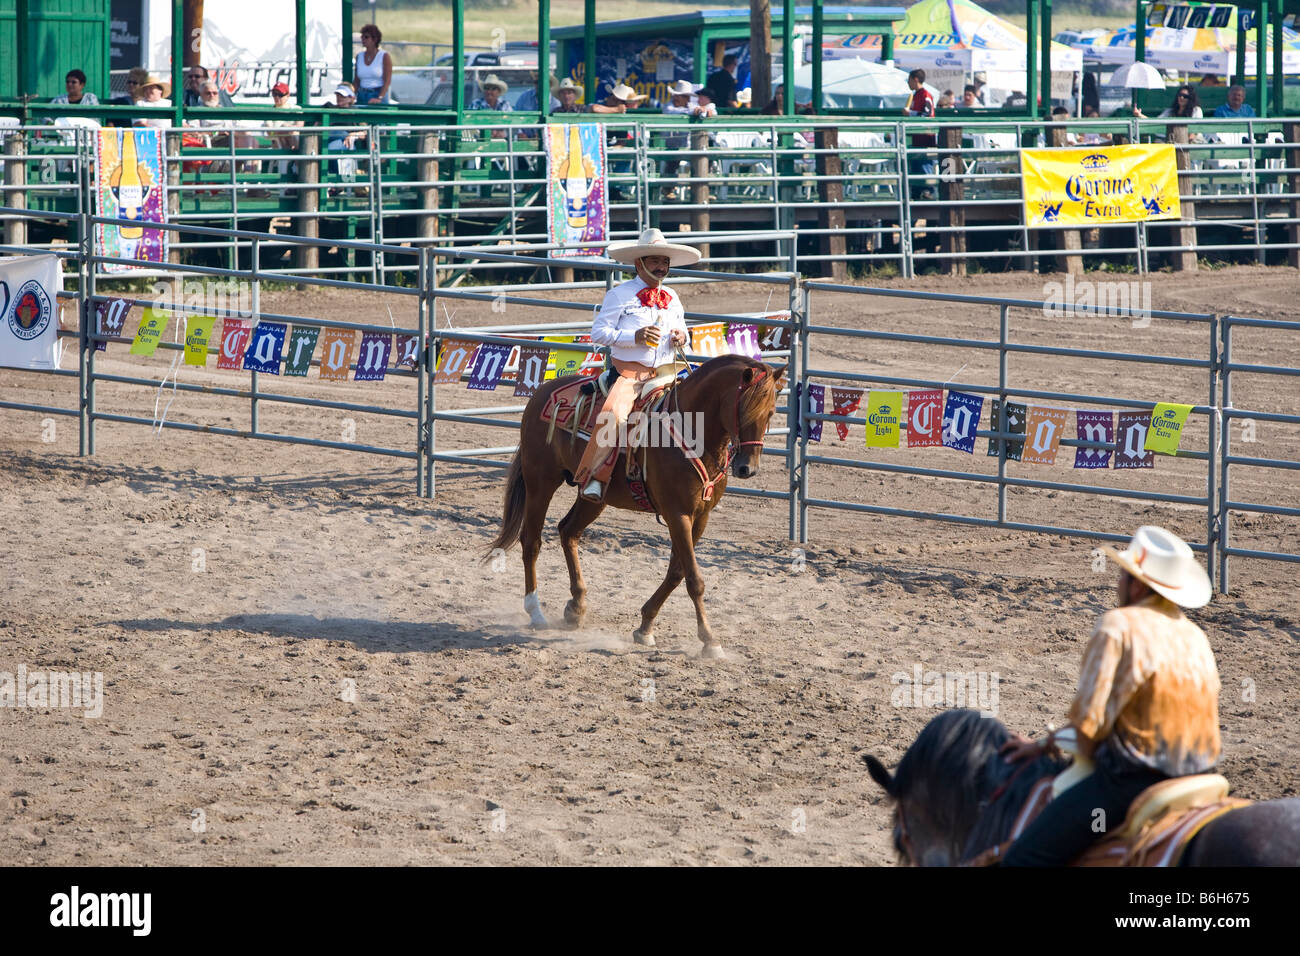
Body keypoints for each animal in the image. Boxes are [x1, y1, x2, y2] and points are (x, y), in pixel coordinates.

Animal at [487, 353, 787, 658]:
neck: (692, 430)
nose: (747, 468)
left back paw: (576, 607)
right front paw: (709, 640)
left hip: (593, 497)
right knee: (531, 542)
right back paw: (535, 612)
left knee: (568, 531)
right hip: (541, 482)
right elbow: (694, 579)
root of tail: (543, 391)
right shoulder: (677, 514)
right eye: (743, 410)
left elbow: (677, 572)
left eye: (771, 412)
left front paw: (645, 627)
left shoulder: (700, 516)